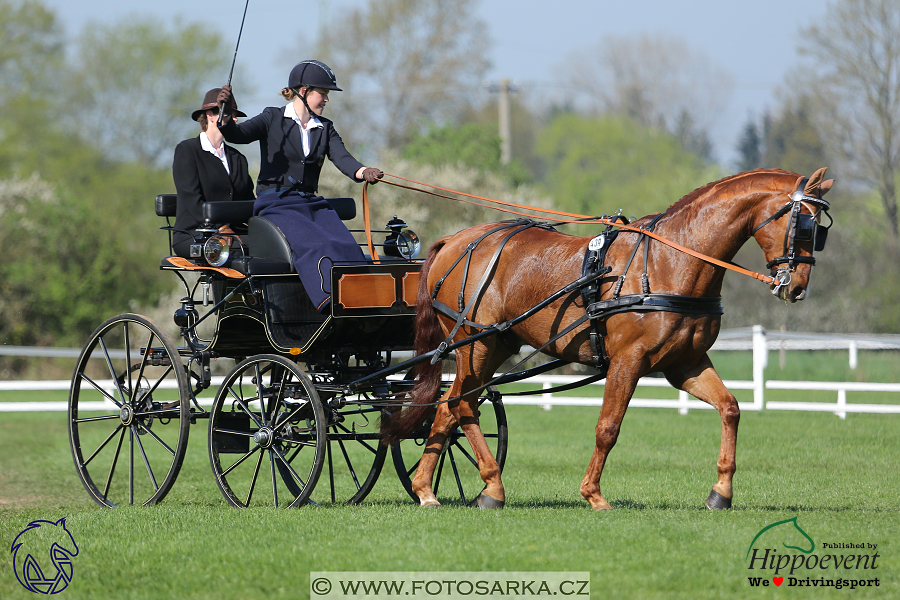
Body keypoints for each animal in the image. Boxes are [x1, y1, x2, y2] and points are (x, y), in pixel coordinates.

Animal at [376, 169, 832, 510]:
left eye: (819, 230)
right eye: (805, 225)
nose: (797, 287)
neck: (671, 260)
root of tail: (454, 240)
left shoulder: (684, 363)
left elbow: (731, 409)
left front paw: (721, 492)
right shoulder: (629, 360)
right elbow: (608, 427)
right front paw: (593, 495)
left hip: (492, 346)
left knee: (448, 408)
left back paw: (427, 490)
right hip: (476, 345)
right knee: (461, 404)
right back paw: (493, 486)